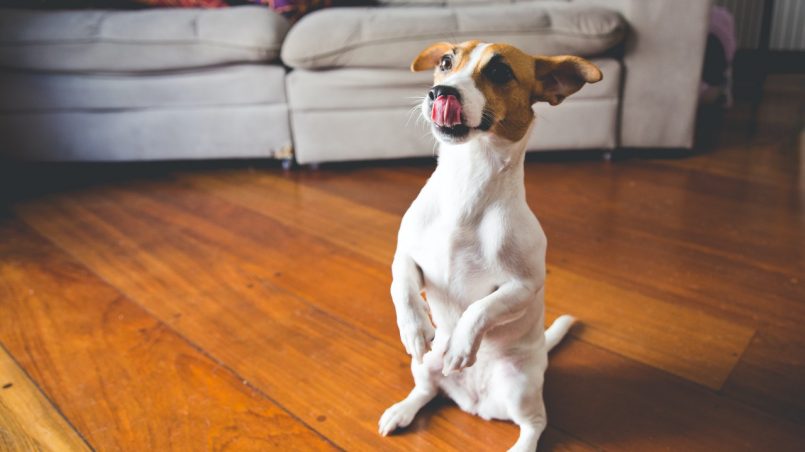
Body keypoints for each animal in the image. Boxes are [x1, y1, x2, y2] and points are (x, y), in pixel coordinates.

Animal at [376, 40, 596, 450]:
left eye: (499, 71)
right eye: (446, 62)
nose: (440, 93)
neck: (467, 182)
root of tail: (473, 402)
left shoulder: (522, 286)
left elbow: (480, 309)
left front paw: (463, 344)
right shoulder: (406, 256)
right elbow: (402, 287)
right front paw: (414, 327)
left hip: (520, 386)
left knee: (535, 423)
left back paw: (520, 444)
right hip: (426, 364)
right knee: (426, 390)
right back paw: (402, 410)